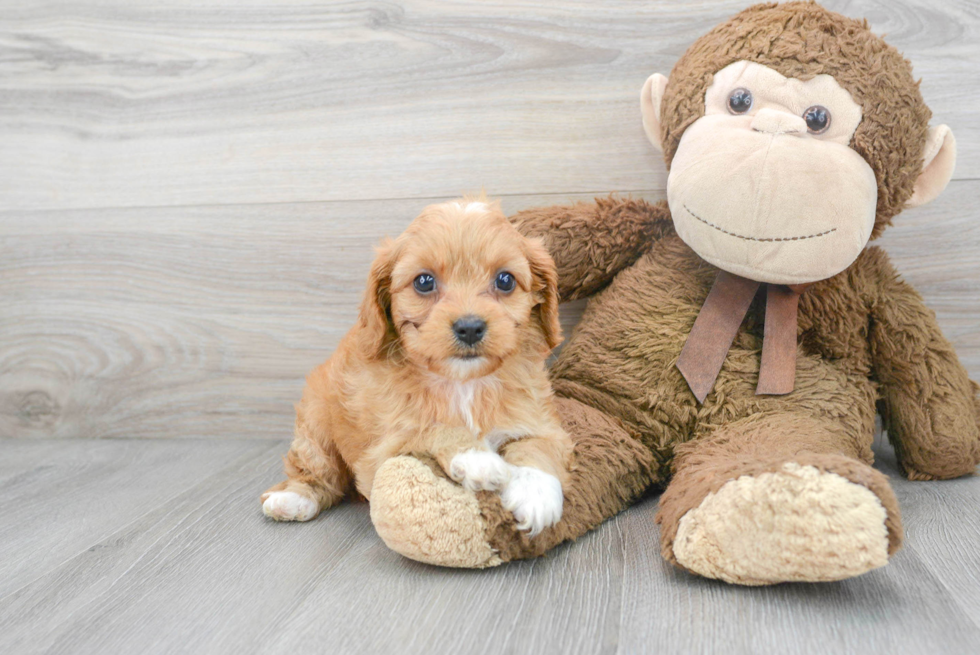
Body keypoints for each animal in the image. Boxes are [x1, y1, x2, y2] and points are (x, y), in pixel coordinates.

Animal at [260, 200, 576, 540]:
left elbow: (539, 447)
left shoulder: (541, 419)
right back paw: (292, 498)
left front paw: (536, 492)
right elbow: (433, 427)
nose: (469, 327)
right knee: (317, 470)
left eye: (505, 280)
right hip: (315, 424)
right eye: (424, 282)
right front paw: (477, 458)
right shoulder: (387, 445)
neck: (462, 382)